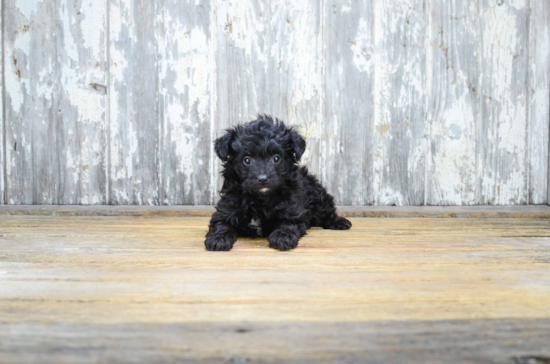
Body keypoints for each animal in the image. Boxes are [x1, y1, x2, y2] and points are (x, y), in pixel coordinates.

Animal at [207, 115, 354, 252]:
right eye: (247, 160)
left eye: (276, 158)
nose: (262, 178)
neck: (260, 199)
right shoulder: (226, 210)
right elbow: (221, 224)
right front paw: (218, 239)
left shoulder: (294, 212)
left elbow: (288, 223)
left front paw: (283, 237)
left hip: (318, 198)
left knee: (326, 212)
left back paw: (340, 222)